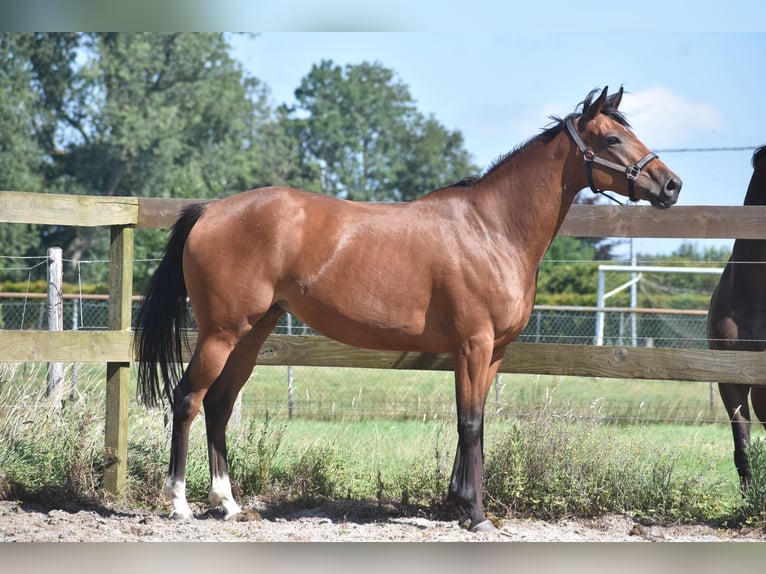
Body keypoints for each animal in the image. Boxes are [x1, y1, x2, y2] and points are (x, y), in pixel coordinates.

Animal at [134, 88, 684, 532]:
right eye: (611, 139)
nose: (671, 185)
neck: (492, 229)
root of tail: (211, 210)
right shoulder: (473, 345)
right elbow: (470, 424)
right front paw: (475, 514)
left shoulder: (494, 353)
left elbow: (475, 423)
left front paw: (460, 505)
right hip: (221, 333)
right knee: (186, 399)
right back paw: (179, 504)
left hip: (252, 333)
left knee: (219, 404)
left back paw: (228, 504)